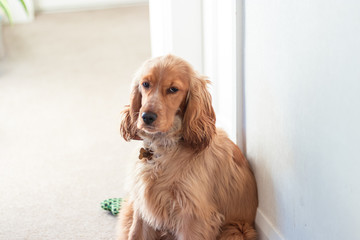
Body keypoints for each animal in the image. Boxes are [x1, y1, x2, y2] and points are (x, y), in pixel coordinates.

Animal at [117, 54, 256, 240]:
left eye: (173, 89)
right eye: (145, 84)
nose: (147, 117)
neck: (163, 148)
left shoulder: (192, 217)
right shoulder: (142, 207)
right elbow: (135, 234)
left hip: (236, 229)